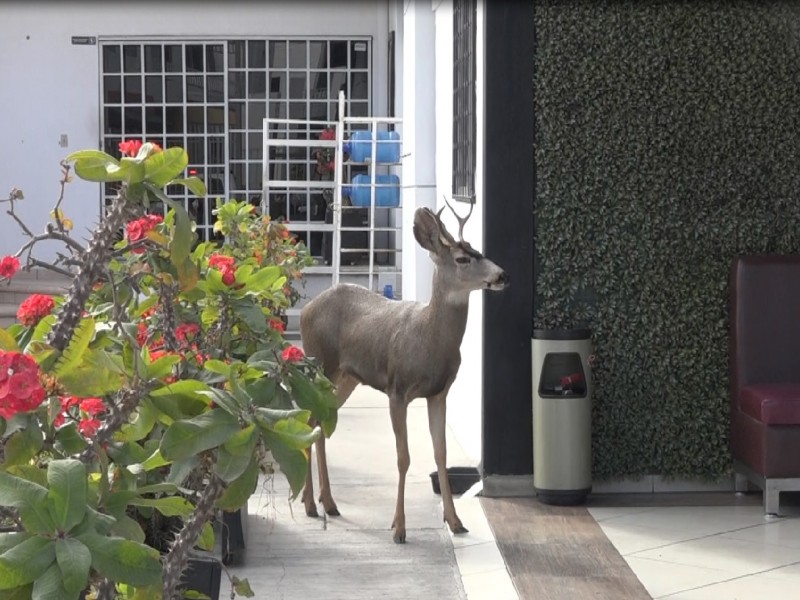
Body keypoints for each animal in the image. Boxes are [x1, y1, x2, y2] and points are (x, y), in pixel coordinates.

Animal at [296, 202, 510, 544]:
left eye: (479, 250)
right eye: (462, 259)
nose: (502, 275)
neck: (429, 340)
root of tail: (305, 309)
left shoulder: (439, 393)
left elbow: (440, 454)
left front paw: (456, 521)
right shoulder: (397, 389)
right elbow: (403, 457)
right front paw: (399, 528)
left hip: (346, 377)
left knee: (320, 424)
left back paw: (326, 502)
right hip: (319, 363)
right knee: (308, 419)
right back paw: (311, 504)